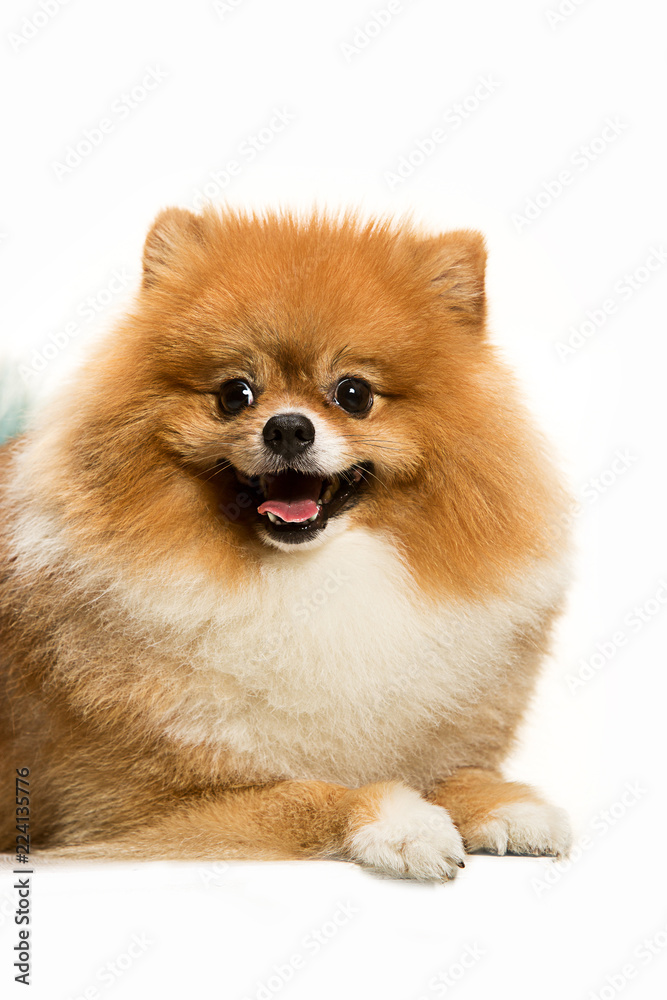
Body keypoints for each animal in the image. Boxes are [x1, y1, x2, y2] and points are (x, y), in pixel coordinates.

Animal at [1, 207, 576, 880]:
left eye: (353, 393)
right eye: (235, 394)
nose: (288, 427)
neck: (314, 579)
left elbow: (450, 771)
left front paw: (507, 804)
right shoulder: (125, 809)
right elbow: (309, 794)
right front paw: (402, 822)